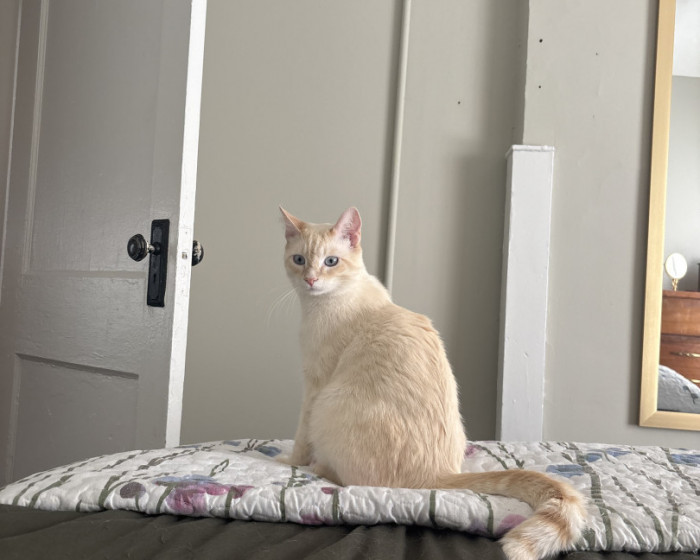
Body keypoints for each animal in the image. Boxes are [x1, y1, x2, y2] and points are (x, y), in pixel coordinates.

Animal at [278, 206, 587, 560]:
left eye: (331, 261)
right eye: (299, 260)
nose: (311, 279)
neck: (327, 301)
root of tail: (438, 475)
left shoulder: (314, 387)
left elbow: (300, 440)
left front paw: (287, 462)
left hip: (328, 404)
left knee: (353, 480)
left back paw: (319, 468)